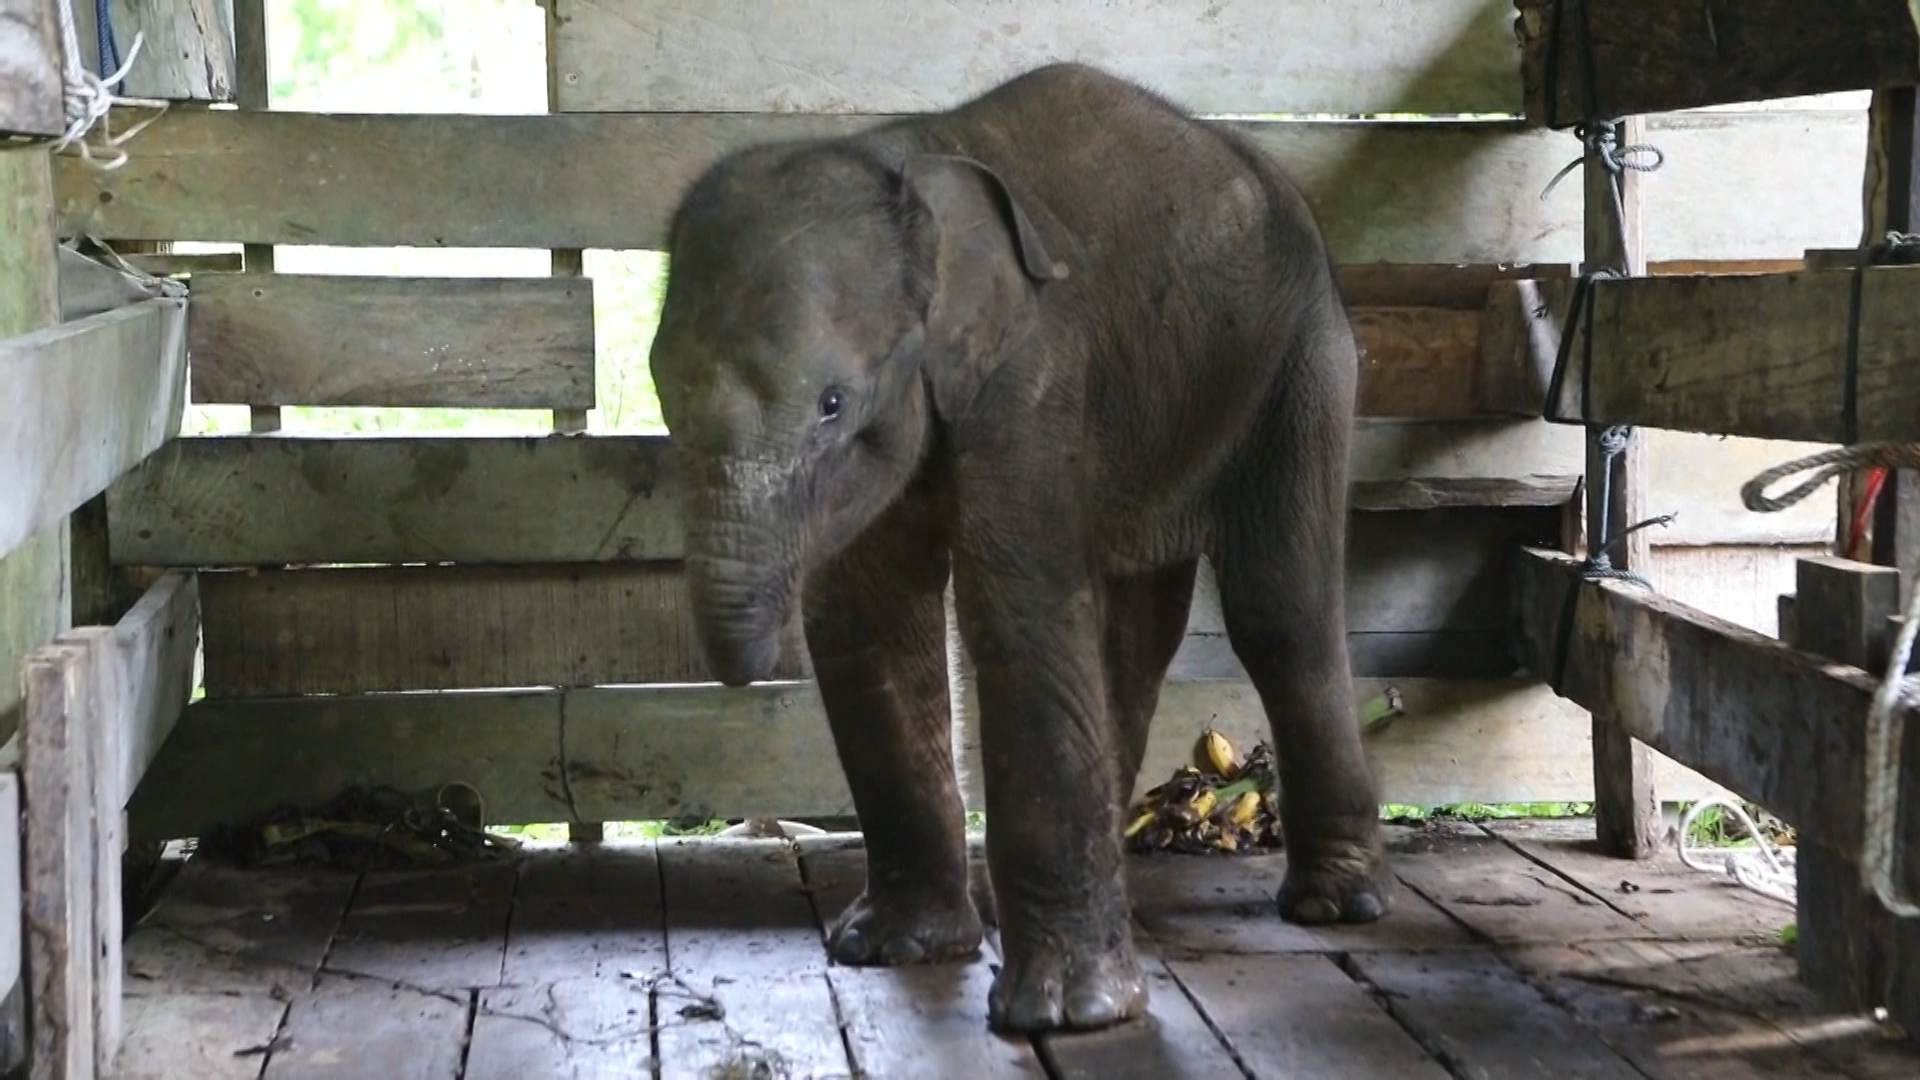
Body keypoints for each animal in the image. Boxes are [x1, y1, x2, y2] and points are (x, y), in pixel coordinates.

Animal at [647, 62, 1390, 1034]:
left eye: (832, 406)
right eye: (660, 390)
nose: (741, 670)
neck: (903, 161)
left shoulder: (1034, 379)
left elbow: (1017, 608)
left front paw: (1073, 1014)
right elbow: (873, 618)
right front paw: (893, 948)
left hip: (1301, 359)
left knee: (1280, 614)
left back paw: (1333, 904)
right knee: (1136, 627)